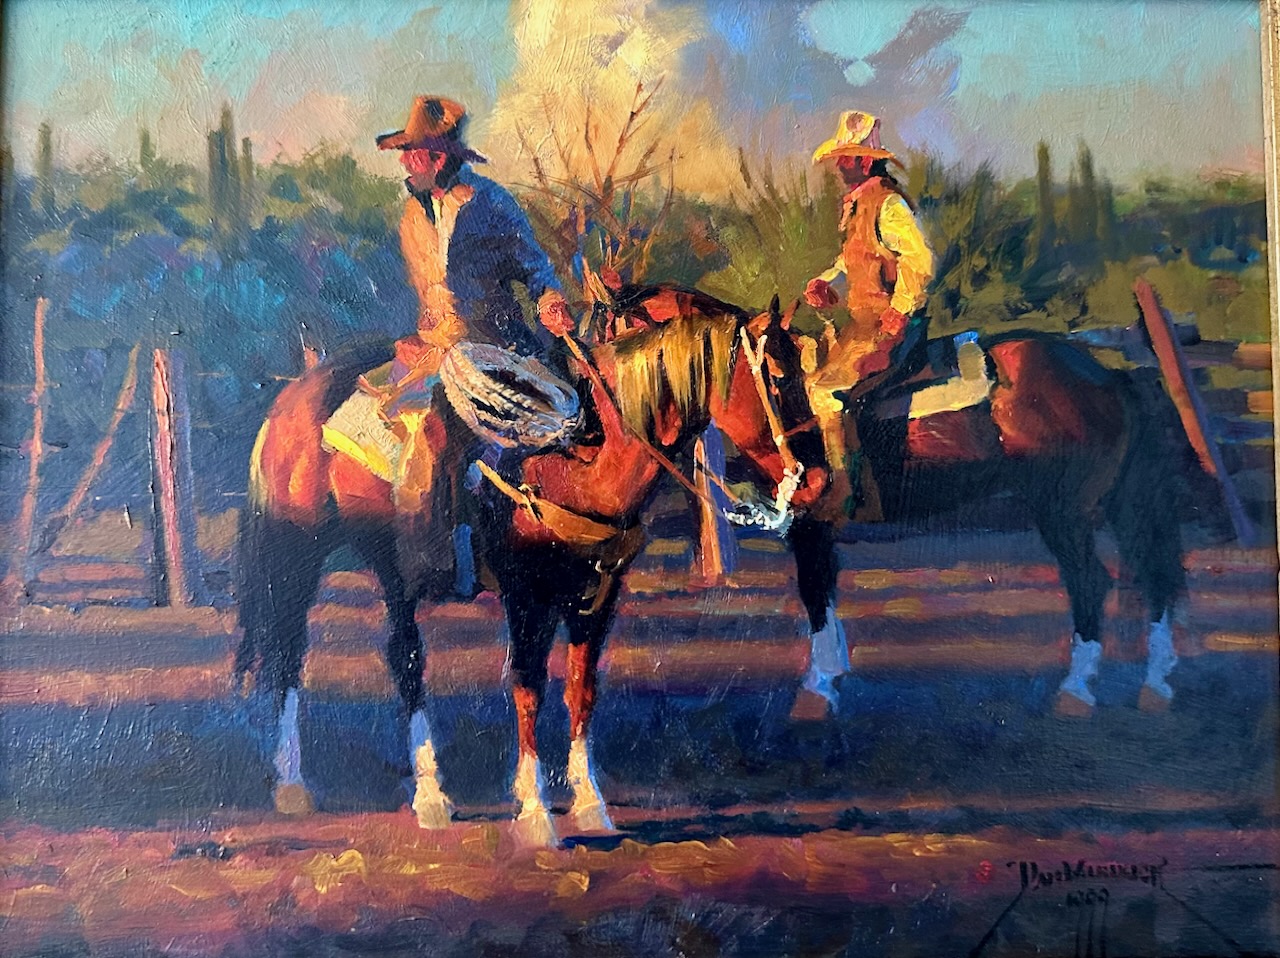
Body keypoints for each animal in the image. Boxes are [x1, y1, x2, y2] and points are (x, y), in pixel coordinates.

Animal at [234, 290, 828, 846]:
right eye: (777, 378)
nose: (816, 482)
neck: (574, 462)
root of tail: (296, 393)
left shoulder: (597, 593)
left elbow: (581, 690)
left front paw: (590, 804)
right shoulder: (526, 594)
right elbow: (528, 687)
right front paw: (536, 811)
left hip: (392, 564)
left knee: (404, 660)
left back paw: (430, 795)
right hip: (297, 554)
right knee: (290, 653)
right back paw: (299, 787)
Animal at [786, 326, 1186, 722]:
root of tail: (1109, 375)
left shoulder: (808, 524)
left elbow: (815, 593)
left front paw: (817, 689)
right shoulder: (814, 529)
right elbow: (823, 589)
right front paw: (832, 675)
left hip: (1063, 512)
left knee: (1090, 581)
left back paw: (1076, 690)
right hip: (1118, 501)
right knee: (1153, 573)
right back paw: (1155, 684)